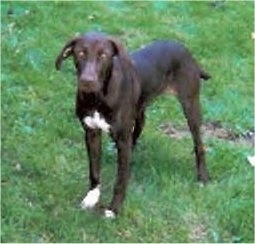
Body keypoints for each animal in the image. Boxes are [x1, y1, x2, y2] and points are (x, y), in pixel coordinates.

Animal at [54, 31, 210, 217]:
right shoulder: (91, 133)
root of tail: (185, 49)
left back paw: (202, 177)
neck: (98, 98)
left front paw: (114, 209)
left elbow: (120, 180)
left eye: (104, 55)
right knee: (138, 131)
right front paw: (92, 197)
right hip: (139, 111)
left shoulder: (122, 138)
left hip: (190, 105)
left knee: (199, 144)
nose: (87, 81)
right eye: (80, 53)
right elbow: (94, 170)